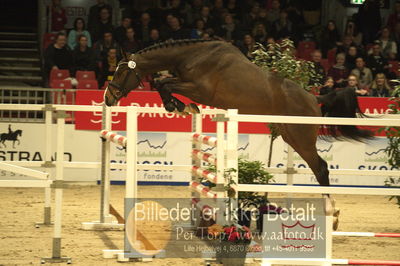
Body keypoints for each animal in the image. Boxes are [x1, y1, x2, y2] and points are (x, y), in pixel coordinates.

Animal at [104, 39, 374, 221]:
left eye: (121, 71)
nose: (108, 98)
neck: (193, 56)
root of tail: (314, 97)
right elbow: (164, 83)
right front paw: (183, 107)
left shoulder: (200, 89)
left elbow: (164, 83)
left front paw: (177, 105)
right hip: (290, 135)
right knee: (318, 167)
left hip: (302, 137)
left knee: (321, 168)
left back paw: (332, 210)